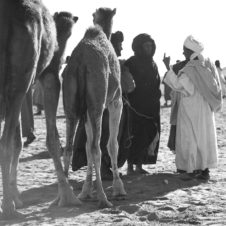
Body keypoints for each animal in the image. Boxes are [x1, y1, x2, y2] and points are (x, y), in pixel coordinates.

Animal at [0, 0, 78, 219]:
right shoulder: (49, 76)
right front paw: (66, 196)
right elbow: (53, 140)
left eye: (70, 31)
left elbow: (18, 142)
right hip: (21, 78)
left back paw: (9, 203)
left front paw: (16, 196)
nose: (62, 55)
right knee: (4, 143)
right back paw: (8, 208)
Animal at [62, 7, 127, 207]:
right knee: (96, 148)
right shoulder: (116, 102)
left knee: (69, 148)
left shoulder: (85, 112)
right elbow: (112, 145)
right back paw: (103, 198)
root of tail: (81, 62)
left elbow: (85, 145)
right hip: (97, 104)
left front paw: (85, 191)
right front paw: (118, 188)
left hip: (72, 106)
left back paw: (64, 197)